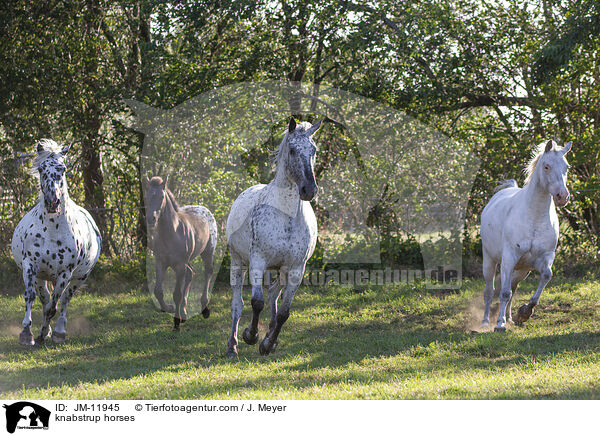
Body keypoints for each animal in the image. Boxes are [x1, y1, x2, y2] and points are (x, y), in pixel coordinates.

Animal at [10, 139, 102, 344]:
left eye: (63, 168)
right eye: (41, 169)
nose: (53, 202)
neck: (52, 229)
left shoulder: (65, 273)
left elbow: (54, 305)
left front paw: (44, 333)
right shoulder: (30, 265)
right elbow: (31, 297)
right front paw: (26, 333)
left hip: (78, 278)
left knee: (64, 299)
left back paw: (59, 331)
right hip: (40, 276)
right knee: (44, 297)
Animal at [225, 117, 322, 356]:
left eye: (314, 150)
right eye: (293, 150)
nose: (309, 190)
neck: (285, 216)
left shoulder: (296, 269)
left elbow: (283, 313)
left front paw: (267, 344)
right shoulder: (257, 262)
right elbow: (256, 302)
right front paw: (250, 336)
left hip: (281, 270)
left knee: (273, 294)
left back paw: (270, 335)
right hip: (237, 262)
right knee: (237, 304)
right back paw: (232, 345)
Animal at [478, 140, 572, 330]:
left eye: (567, 167)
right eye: (546, 166)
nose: (562, 196)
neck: (534, 218)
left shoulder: (545, 257)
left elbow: (546, 276)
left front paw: (524, 312)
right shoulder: (509, 258)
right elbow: (503, 293)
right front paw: (499, 325)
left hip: (522, 269)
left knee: (513, 289)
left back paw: (510, 318)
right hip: (490, 261)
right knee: (490, 291)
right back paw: (485, 322)